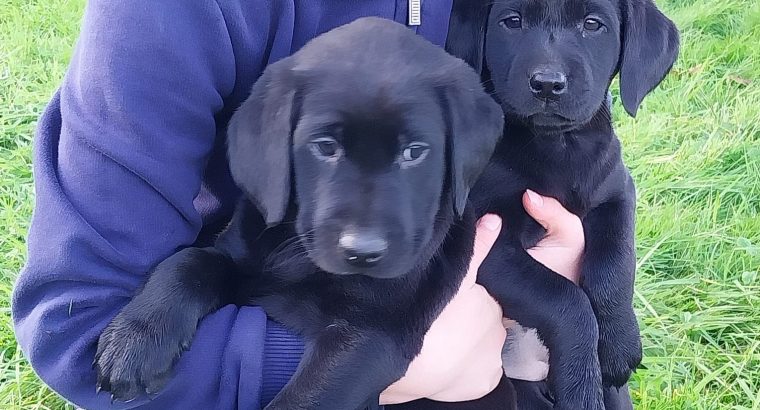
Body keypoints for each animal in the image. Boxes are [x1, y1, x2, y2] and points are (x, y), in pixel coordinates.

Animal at [93, 16, 504, 410]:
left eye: (415, 152)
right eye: (325, 146)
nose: (363, 252)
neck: (299, 257)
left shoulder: (375, 335)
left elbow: (309, 399)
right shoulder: (245, 262)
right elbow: (190, 261)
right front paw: (136, 338)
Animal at [442, 0, 680, 406]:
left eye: (592, 24)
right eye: (512, 21)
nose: (548, 84)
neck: (558, 145)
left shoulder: (617, 192)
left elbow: (616, 262)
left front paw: (619, 342)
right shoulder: (485, 239)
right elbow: (565, 299)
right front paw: (581, 387)